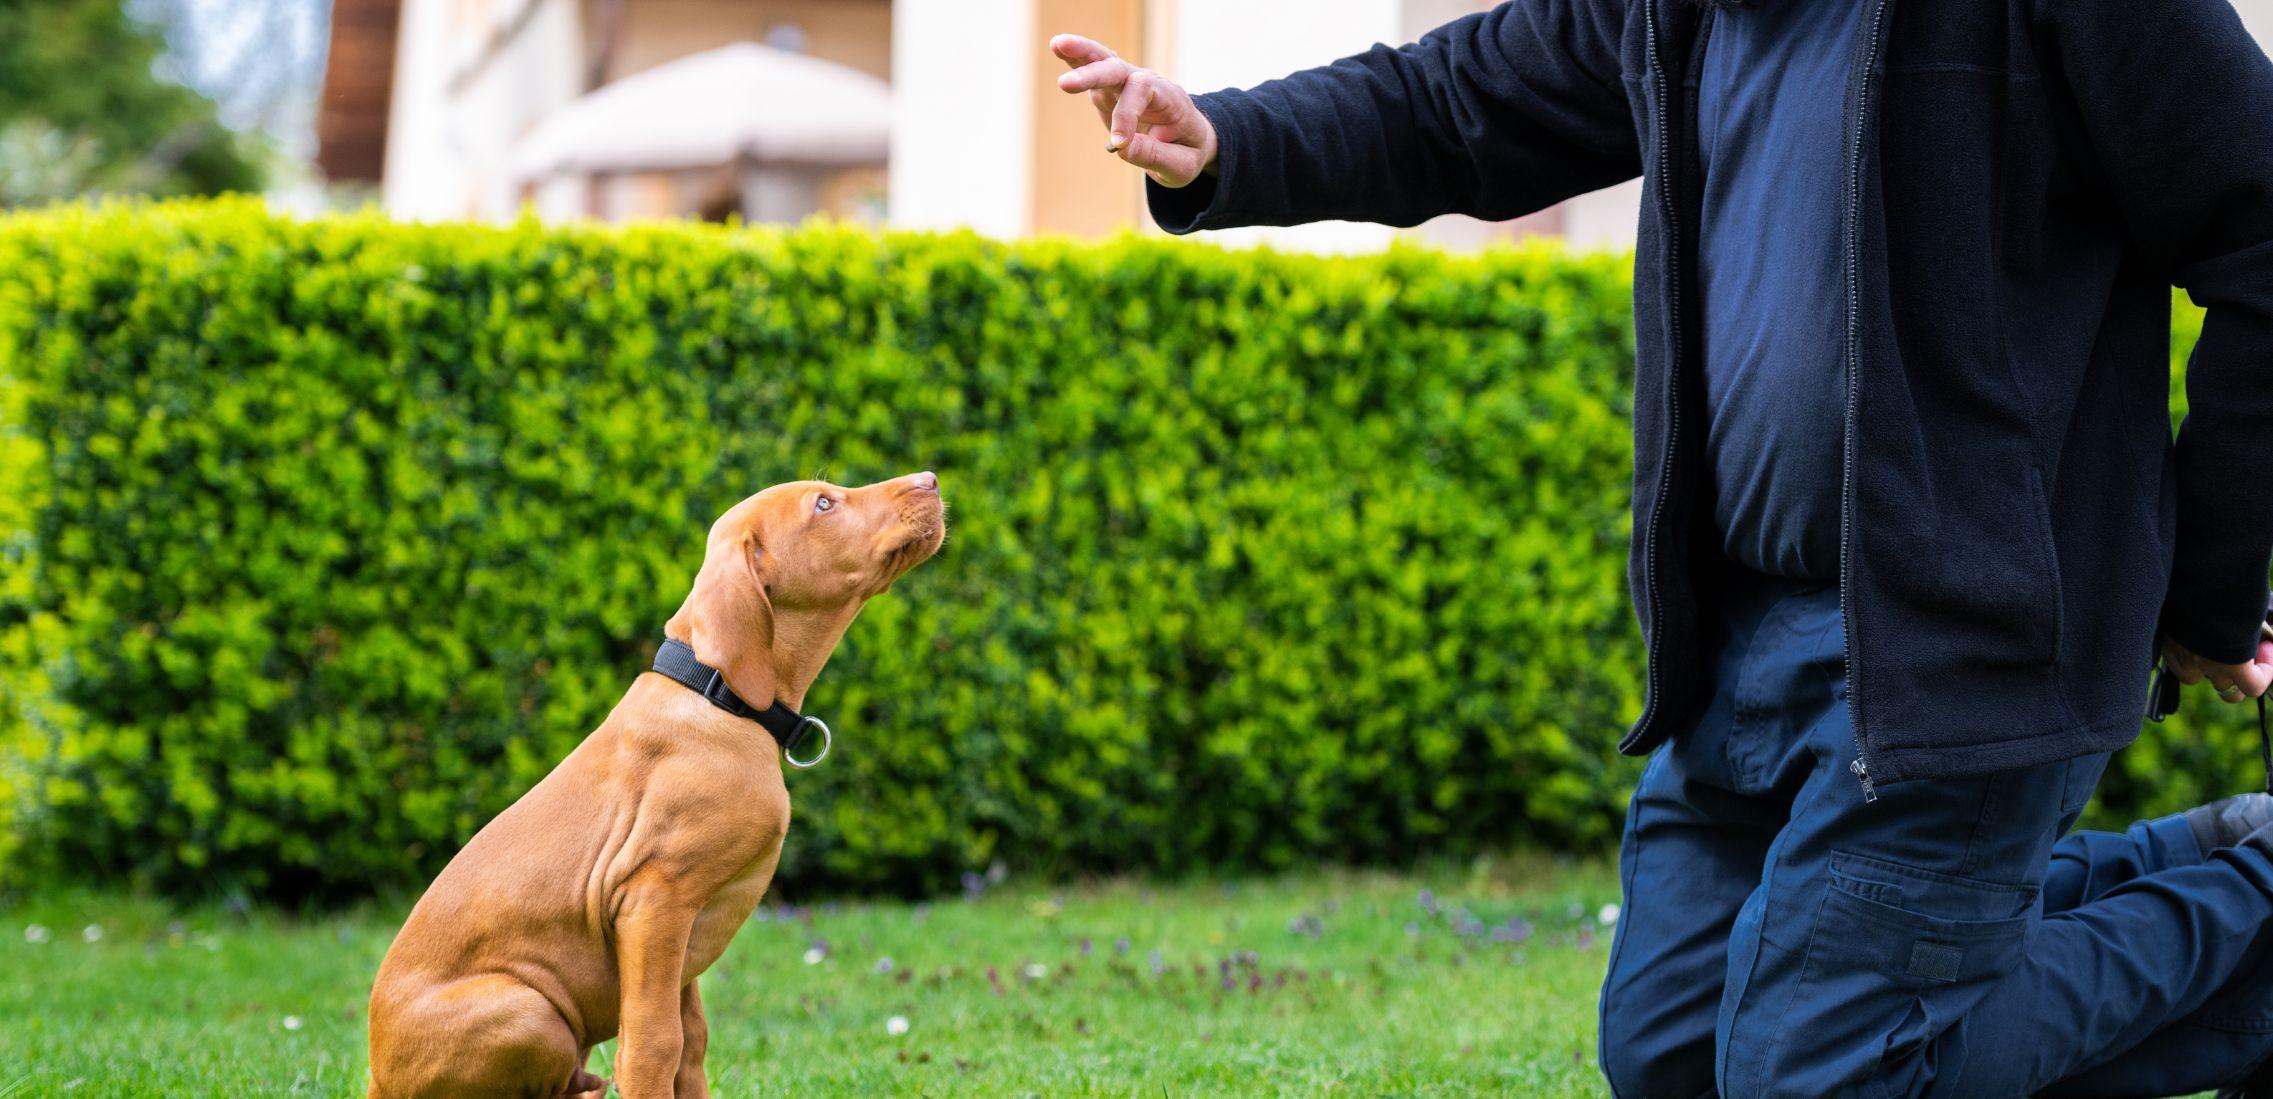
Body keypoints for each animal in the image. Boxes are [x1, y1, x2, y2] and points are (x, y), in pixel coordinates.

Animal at [368, 472, 945, 1099]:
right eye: (822, 504)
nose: (929, 479)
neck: (719, 695)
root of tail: (376, 1081)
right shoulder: (654, 899)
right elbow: (653, 1045)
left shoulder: (683, 935)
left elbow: (690, 1046)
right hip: (530, 1010)